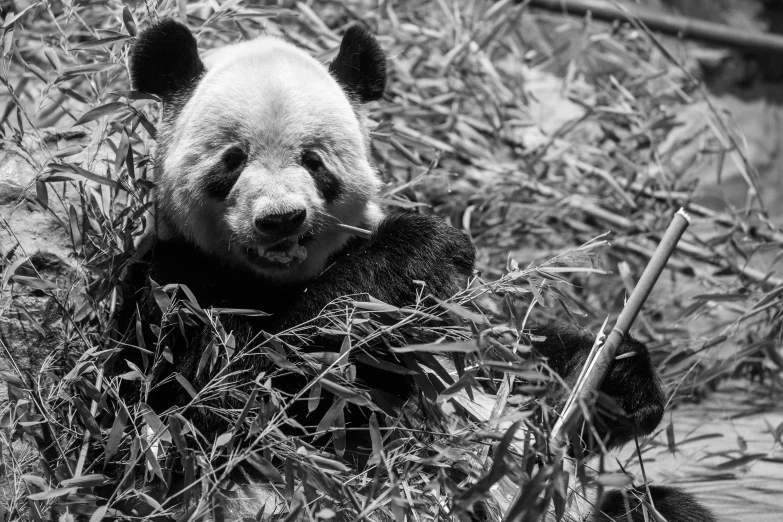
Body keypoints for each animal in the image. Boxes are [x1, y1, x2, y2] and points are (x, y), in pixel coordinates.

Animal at [112, 18, 716, 520]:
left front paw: (615, 378)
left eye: (314, 160)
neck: (284, 279)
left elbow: (509, 367)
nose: (281, 219)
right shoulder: (174, 287)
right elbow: (225, 404)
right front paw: (420, 248)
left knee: (657, 508)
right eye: (233, 160)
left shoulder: (449, 328)